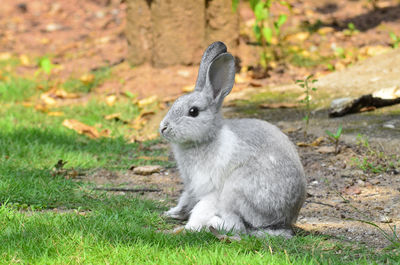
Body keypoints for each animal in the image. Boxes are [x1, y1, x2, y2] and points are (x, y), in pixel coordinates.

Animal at [159, 41, 306, 237]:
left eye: (193, 111)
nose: (163, 128)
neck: (208, 138)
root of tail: (285, 218)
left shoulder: (211, 189)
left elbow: (201, 209)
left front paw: (189, 228)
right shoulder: (191, 186)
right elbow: (186, 200)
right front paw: (172, 214)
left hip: (235, 190)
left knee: (238, 226)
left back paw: (213, 224)